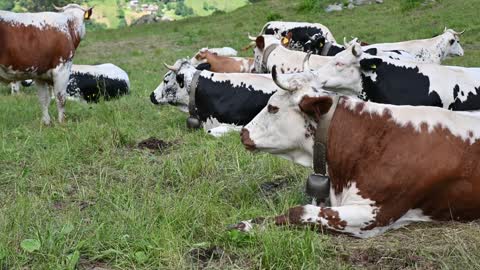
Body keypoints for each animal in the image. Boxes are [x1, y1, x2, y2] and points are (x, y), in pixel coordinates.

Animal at [235, 73, 480, 237]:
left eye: (273, 108)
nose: (243, 132)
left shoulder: (376, 215)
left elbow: (299, 211)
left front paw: (248, 225)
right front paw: (249, 222)